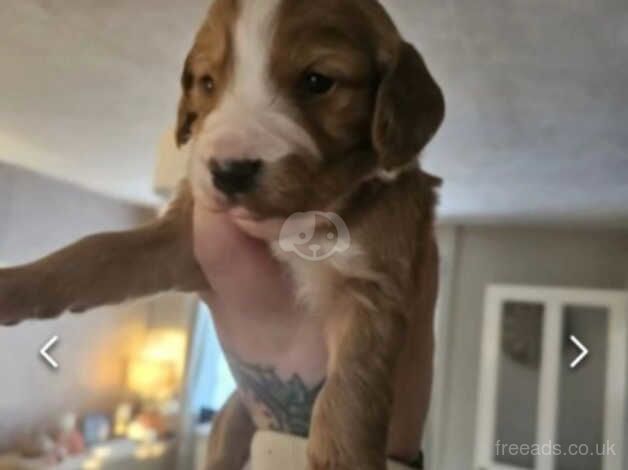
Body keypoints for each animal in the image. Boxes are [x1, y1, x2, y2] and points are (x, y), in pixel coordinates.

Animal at [0, 0, 444, 470]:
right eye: (207, 83)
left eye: (317, 81)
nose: (229, 171)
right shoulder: (183, 239)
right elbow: (93, 253)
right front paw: (15, 283)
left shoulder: (374, 281)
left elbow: (351, 389)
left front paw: (343, 458)